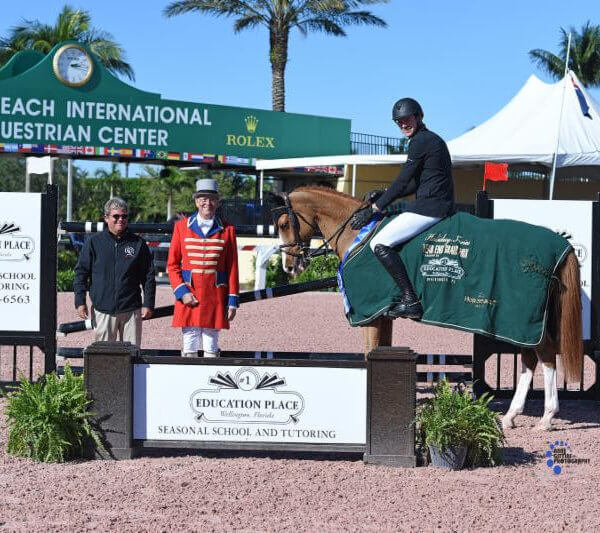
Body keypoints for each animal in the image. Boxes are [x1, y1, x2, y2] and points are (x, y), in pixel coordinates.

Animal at [270, 185, 584, 430]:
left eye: (284, 224)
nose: (289, 267)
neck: (358, 233)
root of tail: (559, 245)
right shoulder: (383, 316)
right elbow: (380, 351)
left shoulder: (370, 315)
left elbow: (369, 355)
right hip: (518, 323)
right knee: (530, 360)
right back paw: (511, 416)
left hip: (520, 320)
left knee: (545, 356)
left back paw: (546, 417)